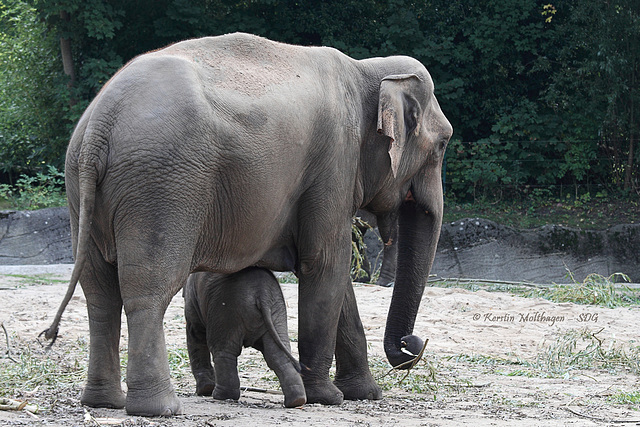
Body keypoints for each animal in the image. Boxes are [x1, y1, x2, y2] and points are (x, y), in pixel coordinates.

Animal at [184, 266, 306, 410]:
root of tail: (261, 294)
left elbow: (195, 333)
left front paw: (204, 391)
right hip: (277, 310)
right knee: (277, 354)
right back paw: (296, 401)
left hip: (226, 311)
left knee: (223, 351)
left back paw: (220, 396)